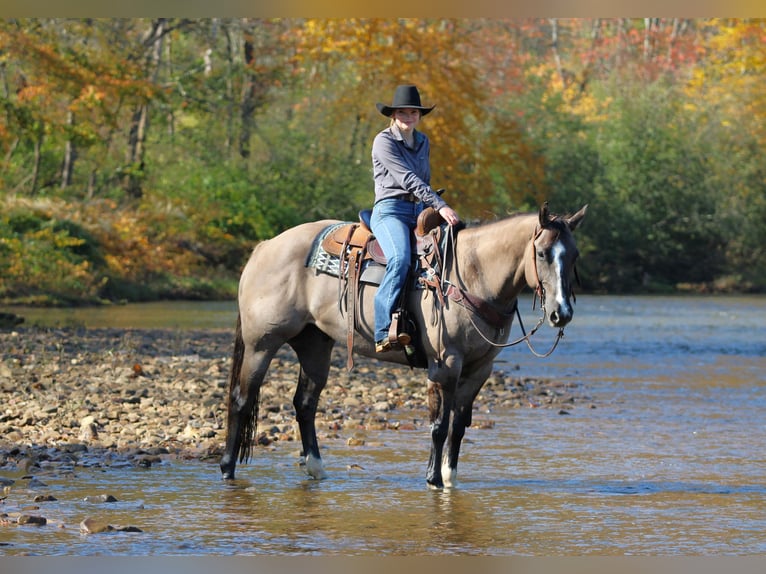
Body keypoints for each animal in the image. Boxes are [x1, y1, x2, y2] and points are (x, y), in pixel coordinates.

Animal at [220, 202, 588, 488]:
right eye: (542, 253)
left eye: (574, 256)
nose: (561, 313)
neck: (472, 274)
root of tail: (265, 247)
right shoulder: (445, 365)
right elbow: (439, 426)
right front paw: (433, 479)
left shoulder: (480, 368)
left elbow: (459, 426)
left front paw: (450, 477)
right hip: (261, 343)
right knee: (241, 399)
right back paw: (227, 468)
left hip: (315, 344)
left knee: (305, 404)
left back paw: (316, 467)